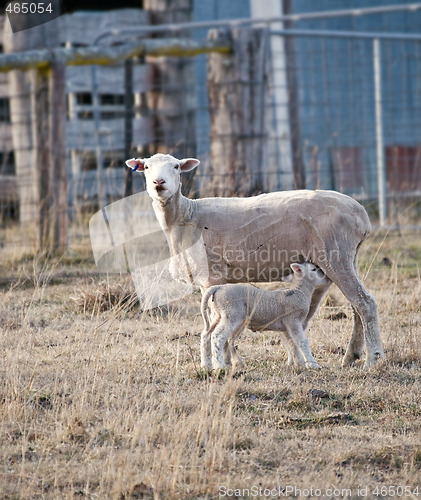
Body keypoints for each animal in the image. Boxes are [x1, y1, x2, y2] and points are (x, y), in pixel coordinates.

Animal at [199, 262, 330, 372]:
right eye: (313, 269)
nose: (326, 278)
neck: (299, 292)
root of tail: (218, 288)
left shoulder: (285, 327)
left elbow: (291, 344)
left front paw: (299, 363)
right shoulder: (293, 320)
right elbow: (302, 341)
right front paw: (313, 364)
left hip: (218, 315)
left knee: (206, 335)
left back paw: (206, 365)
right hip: (230, 314)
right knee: (218, 336)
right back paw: (219, 366)